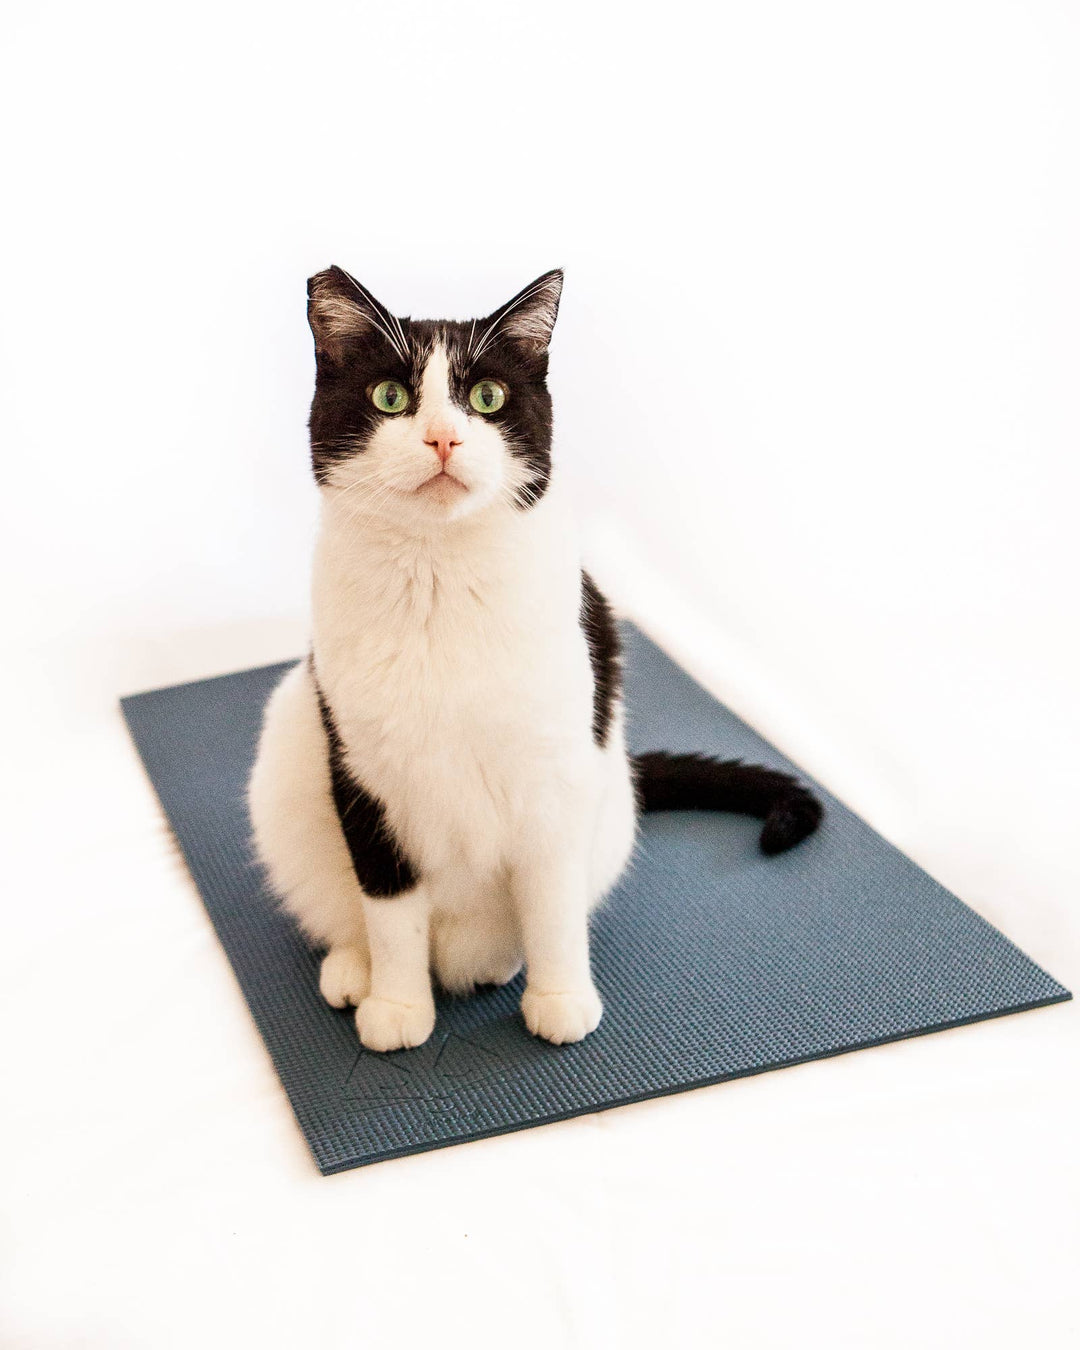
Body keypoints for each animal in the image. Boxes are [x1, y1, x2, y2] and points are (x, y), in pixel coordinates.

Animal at [247, 268, 820, 1053]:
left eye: (487, 398)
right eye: (389, 397)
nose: (443, 436)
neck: (439, 577)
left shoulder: (554, 777)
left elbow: (551, 903)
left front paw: (561, 998)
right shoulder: (364, 779)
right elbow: (391, 910)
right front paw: (397, 1006)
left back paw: (496, 963)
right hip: (288, 742)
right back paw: (354, 968)